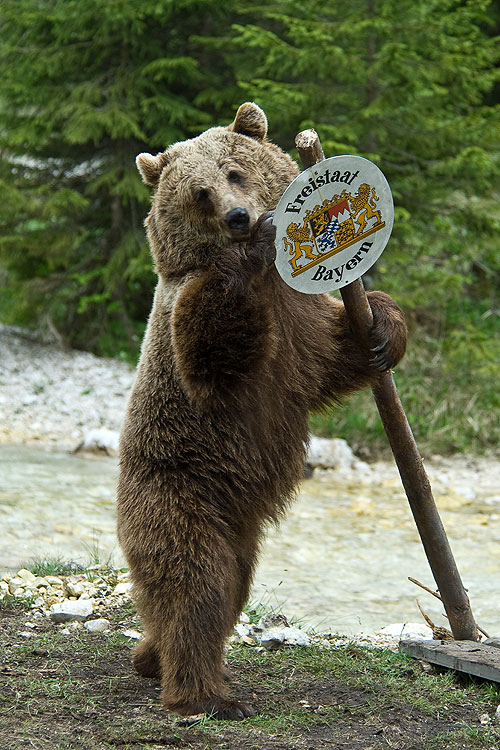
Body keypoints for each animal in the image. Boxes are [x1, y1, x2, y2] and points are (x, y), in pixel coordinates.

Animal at [117, 103, 406, 720]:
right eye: (199, 192)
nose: (239, 217)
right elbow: (213, 351)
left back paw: (151, 657)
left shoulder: (300, 324)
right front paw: (253, 247)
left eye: (235, 171)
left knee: (231, 592)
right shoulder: (193, 317)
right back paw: (205, 692)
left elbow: (333, 356)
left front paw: (382, 330)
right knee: (197, 588)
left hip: (240, 533)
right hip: (179, 494)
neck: (274, 280)